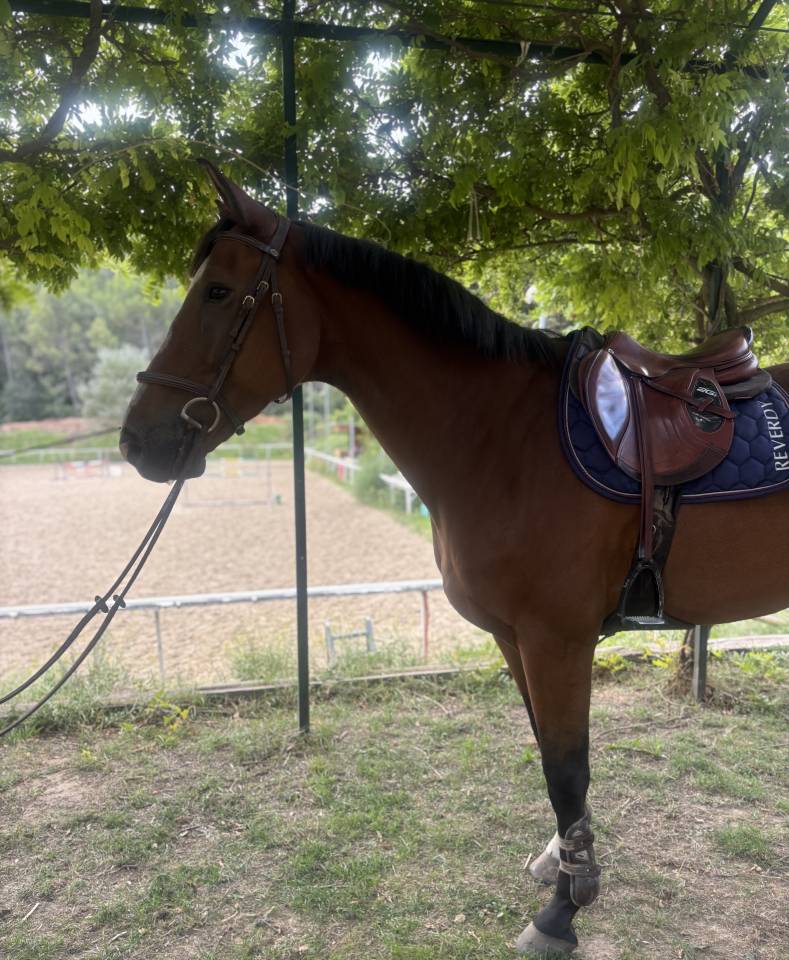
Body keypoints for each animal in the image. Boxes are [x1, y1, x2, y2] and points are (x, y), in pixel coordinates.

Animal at [120, 163, 789, 957]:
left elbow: (566, 768)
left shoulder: (557, 640)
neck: (501, 438)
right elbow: (549, 757)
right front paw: (562, 862)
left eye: (219, 293)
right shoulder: (516, 639)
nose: (137, 441)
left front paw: (562, 911)